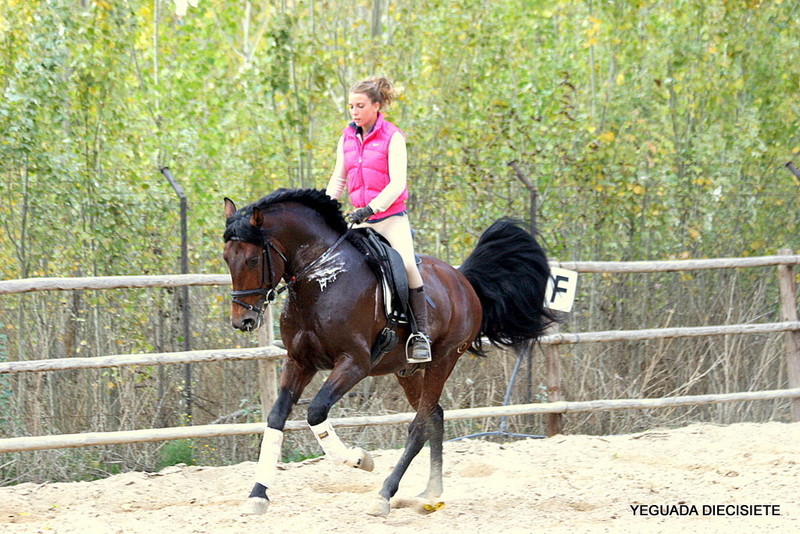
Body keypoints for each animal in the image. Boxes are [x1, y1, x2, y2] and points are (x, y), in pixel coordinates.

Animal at [222, 188, 555, 517]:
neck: (321, 278)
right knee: (434, 416)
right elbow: (276, 418)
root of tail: (463, 280)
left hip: (444, 360)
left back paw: (384, 494)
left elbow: (316, 412)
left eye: (253, 260)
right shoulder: (299, 362)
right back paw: (432, 492)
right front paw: (258, 495)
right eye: (227, 258)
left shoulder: (354, 363)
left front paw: (360, 459)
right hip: (406, 371)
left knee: (420, 425)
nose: (243, 321)